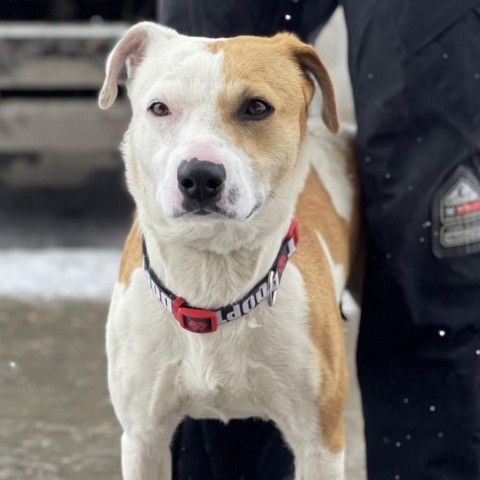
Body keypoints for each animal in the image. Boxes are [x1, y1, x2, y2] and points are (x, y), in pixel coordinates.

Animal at [99, 21, 358, 480]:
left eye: (256, 107)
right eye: (159, 108)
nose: (199, 176)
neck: (212, 278)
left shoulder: (320, 442)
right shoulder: (143, 437)